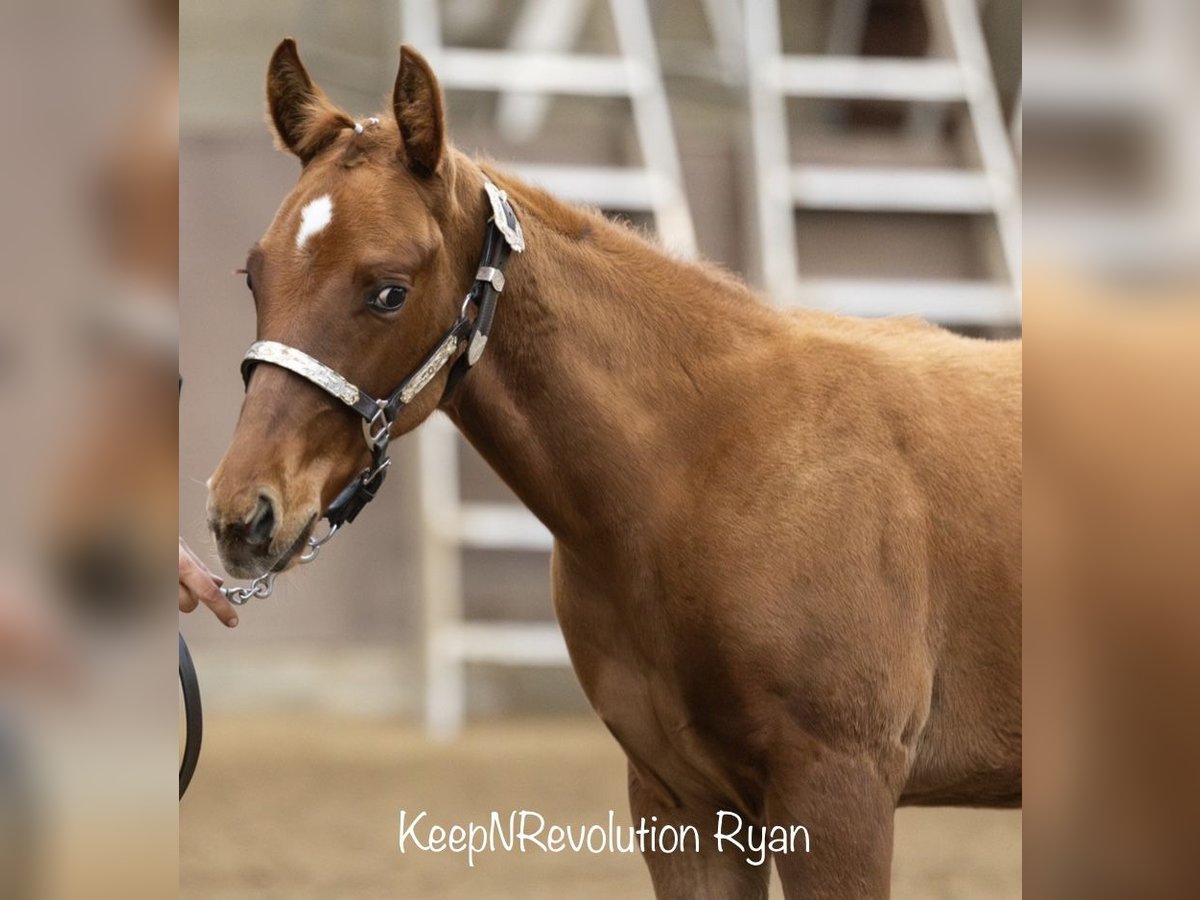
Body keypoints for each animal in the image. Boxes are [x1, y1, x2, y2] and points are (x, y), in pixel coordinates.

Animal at [208, 40, 1022, 897]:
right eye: (254, 275)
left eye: (389, 292)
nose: (243, 516)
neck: (703, 470)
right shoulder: (685, 803)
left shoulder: (840, 791)